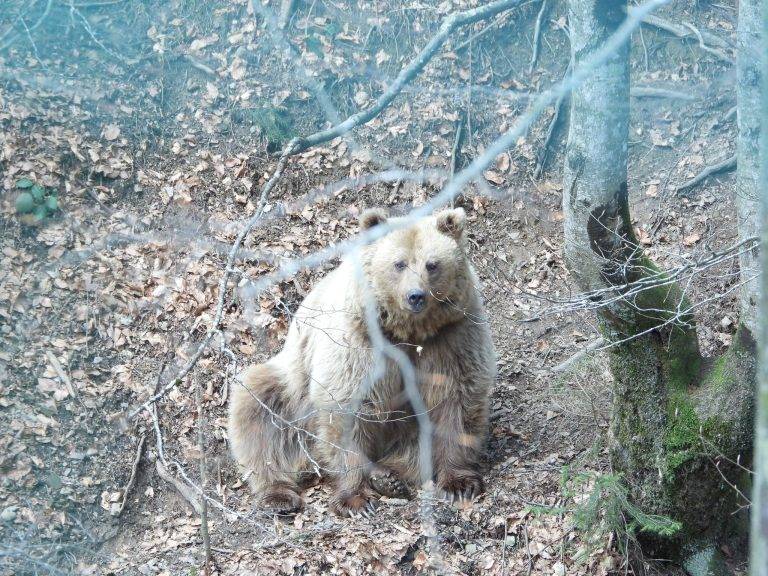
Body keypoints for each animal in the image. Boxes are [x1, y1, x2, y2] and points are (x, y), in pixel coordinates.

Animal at [228, 208, 496, 516]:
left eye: (432, 264)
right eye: (399, 263)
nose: (415, 296)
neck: (409, 332)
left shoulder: (452, 336)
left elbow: (456, 401)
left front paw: (459, 484)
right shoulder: (360, 342)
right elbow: (346, 407)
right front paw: (355, 499)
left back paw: (390, 476)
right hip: (292, 391)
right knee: (260, 411)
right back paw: (279, 494)